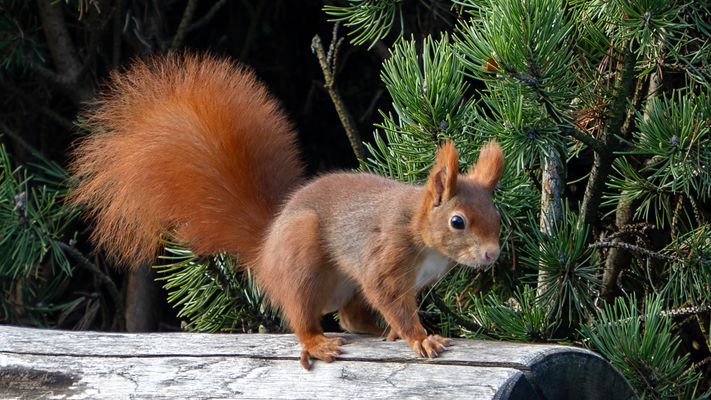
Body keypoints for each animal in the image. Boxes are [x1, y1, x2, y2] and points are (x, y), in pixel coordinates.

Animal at [68, 53, 504, 370]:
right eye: (458, 221)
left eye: (498, 218)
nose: (492, 254)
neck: (421, 233)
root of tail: (265, 254)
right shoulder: (387, 257)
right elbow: (391, 297)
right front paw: (420, 337)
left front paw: (403, 333)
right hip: (302, 259)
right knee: (300, 315)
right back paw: (317, 342)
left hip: (345, 283)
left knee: (349, 317)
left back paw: (373, 329)